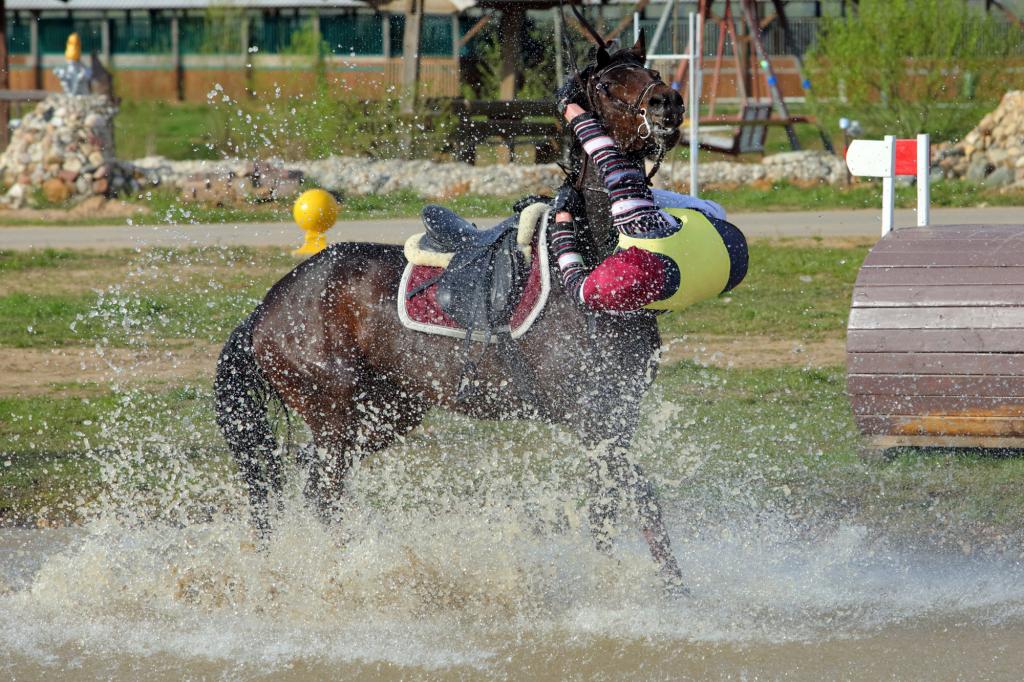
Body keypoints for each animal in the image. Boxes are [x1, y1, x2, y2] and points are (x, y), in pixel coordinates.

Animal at [217, 33, 692, 577]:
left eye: (653, 72)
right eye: (610, 87)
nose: (668, 104)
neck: (593, 263)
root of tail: (267, 308)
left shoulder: (615, 418)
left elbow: (608, 510)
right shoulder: (595, 420)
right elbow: (644, 501)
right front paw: (672, 589)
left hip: (385, 414)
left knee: (316, 481)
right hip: (336, 416)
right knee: (324, 492)